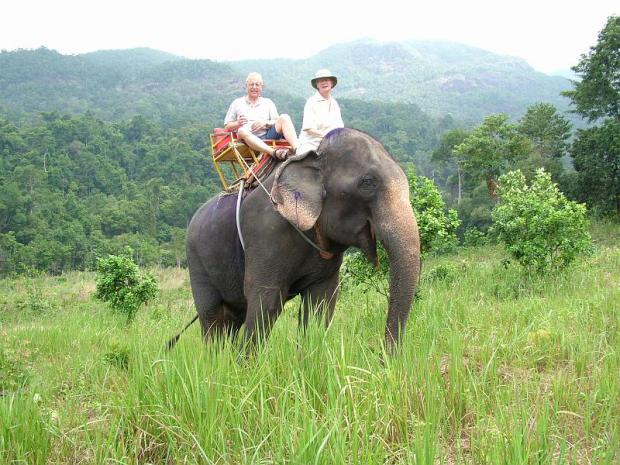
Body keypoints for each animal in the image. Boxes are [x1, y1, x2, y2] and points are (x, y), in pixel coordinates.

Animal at [172, 127, 418, 348]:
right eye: (368, 183)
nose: (381, 357)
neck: (312, 155)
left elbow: (321, 302)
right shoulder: (265, 231)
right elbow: (266, 300)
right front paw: (247, 369)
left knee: (234, 317)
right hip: (196, 259)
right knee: (212, 317)